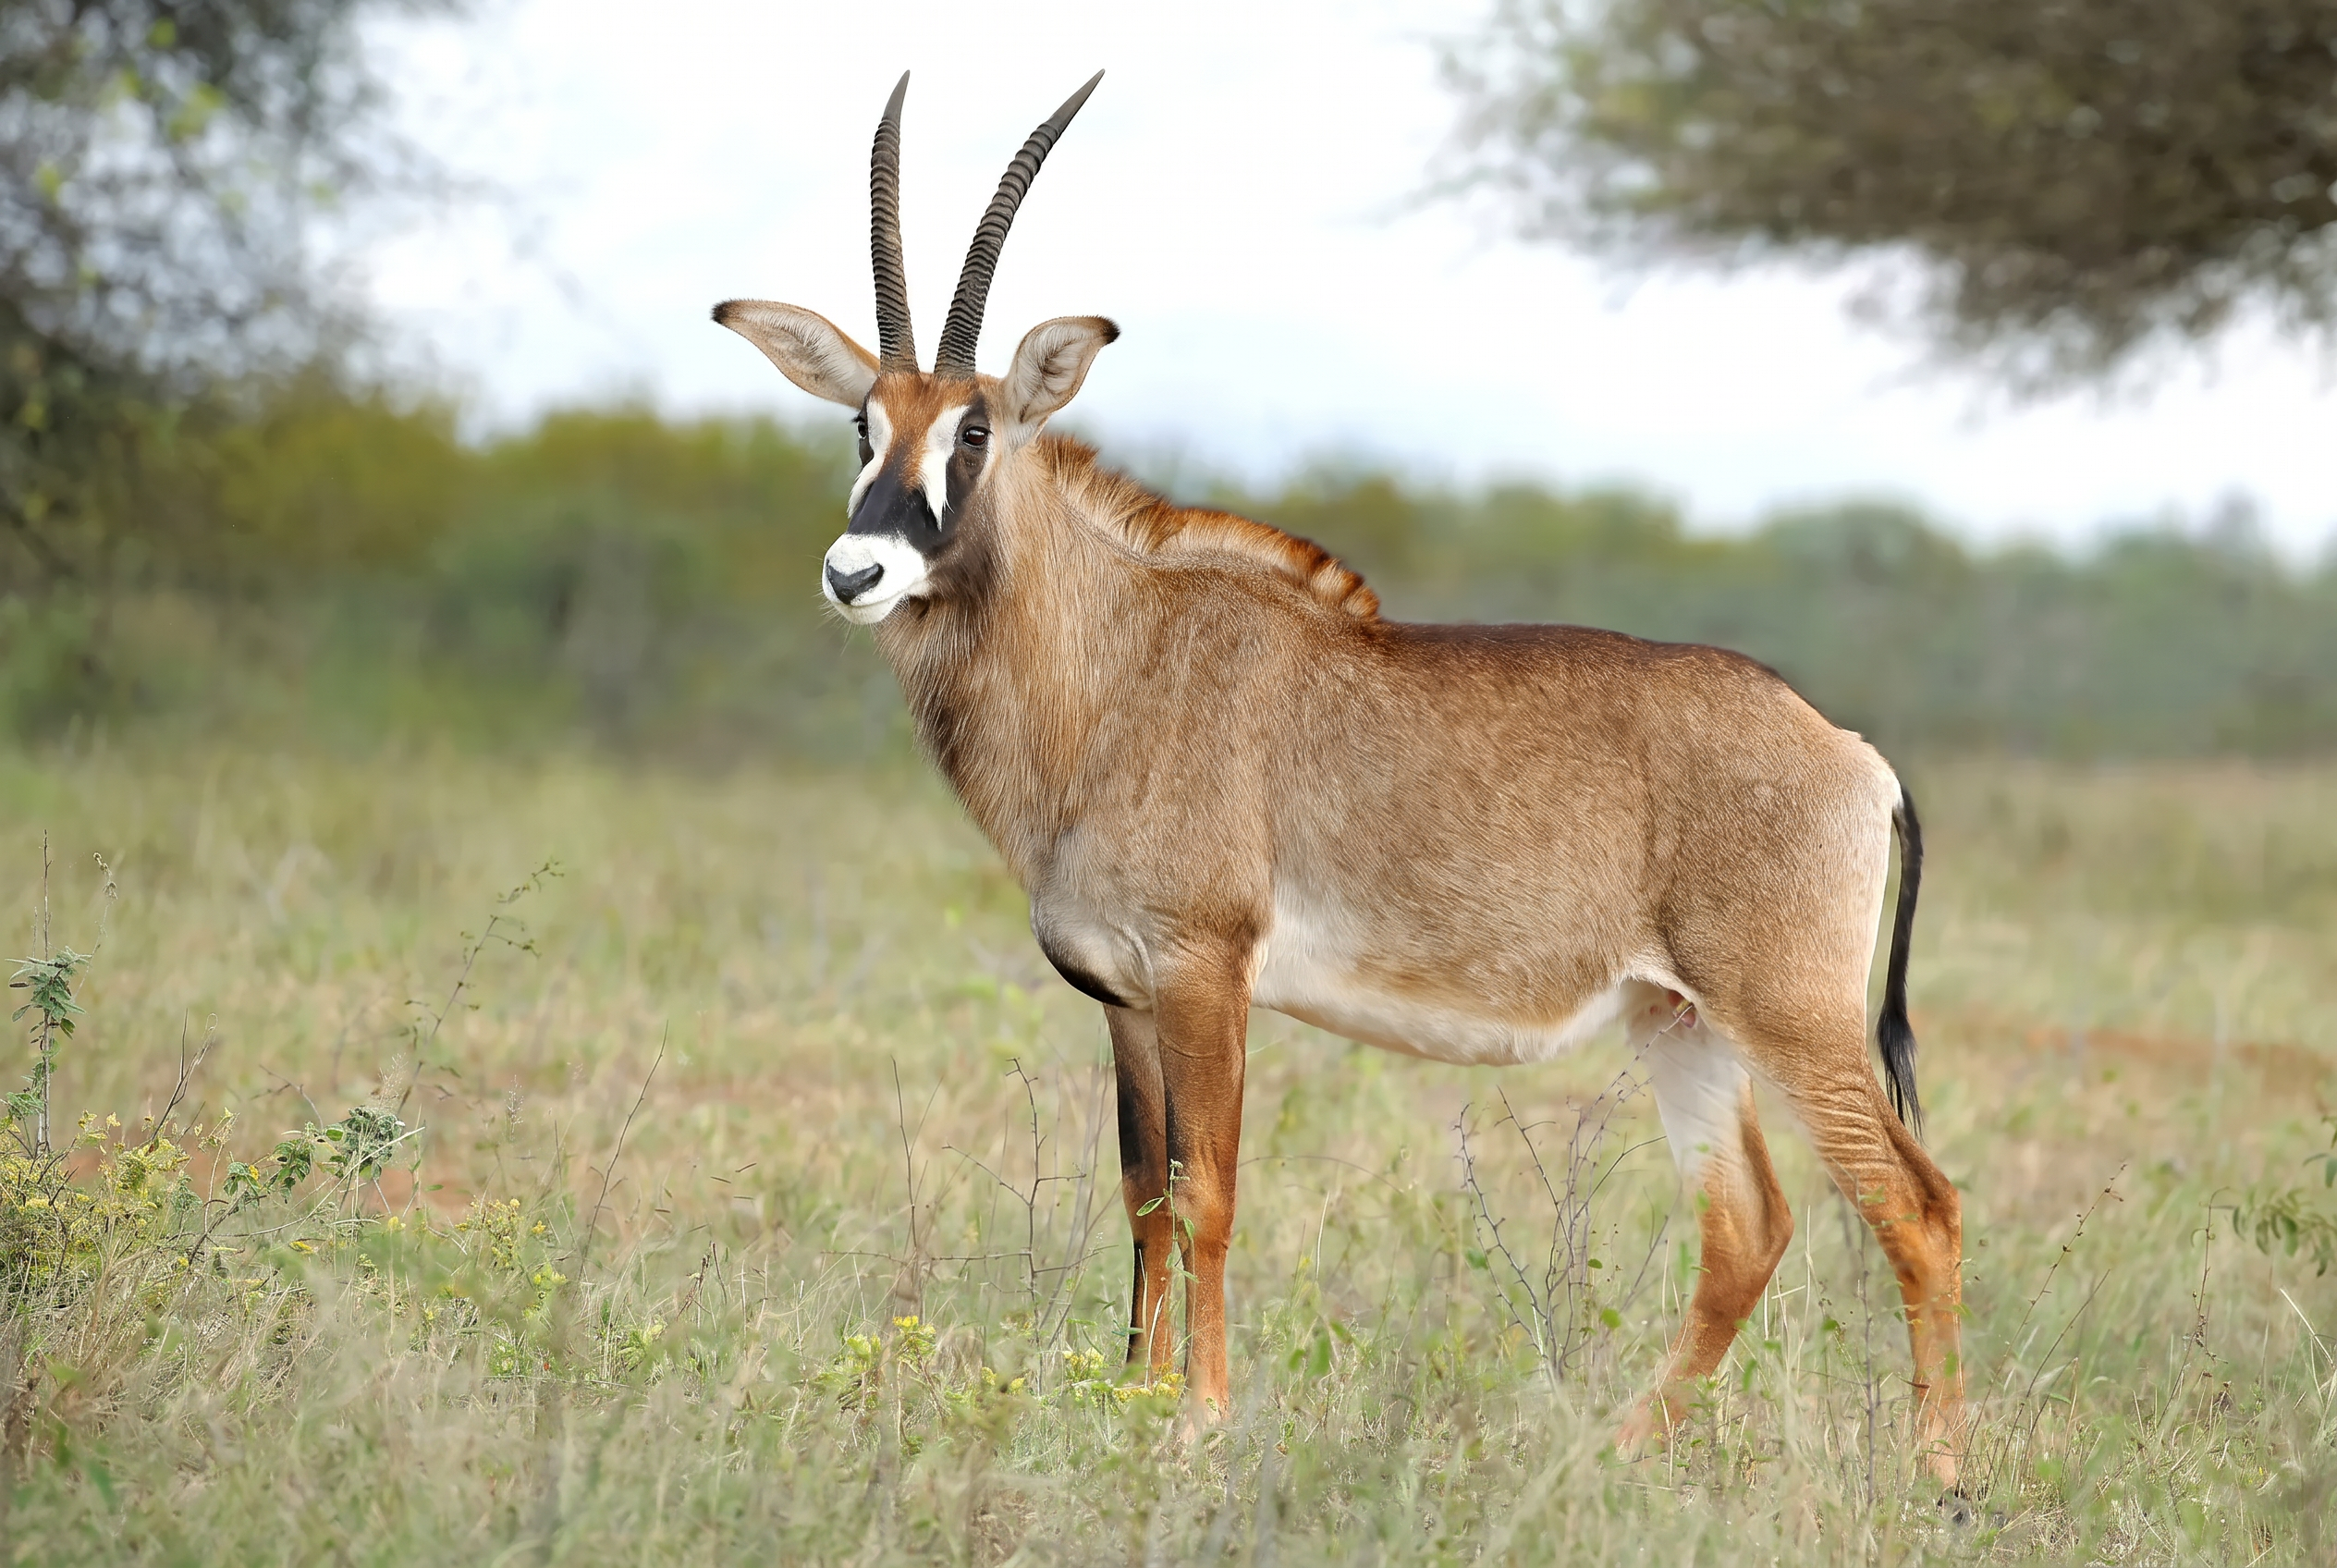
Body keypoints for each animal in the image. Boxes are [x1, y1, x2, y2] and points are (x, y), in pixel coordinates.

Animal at [714, 72, 1965, 1484]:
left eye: (975, 427)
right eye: (863, 424)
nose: (856, 572)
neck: (1119, 661)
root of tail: (1854, 756)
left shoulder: (1206, 972)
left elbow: (1207, 1191)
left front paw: (1199, 1417)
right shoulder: (1123, 996)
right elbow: (1143, 1192)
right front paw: (1136, 1402)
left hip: (1790, 1016)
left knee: (1916, 1205)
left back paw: (1940, 1475)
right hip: (1680, 1021)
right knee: (1747, 1226)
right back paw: (1608, 1452)